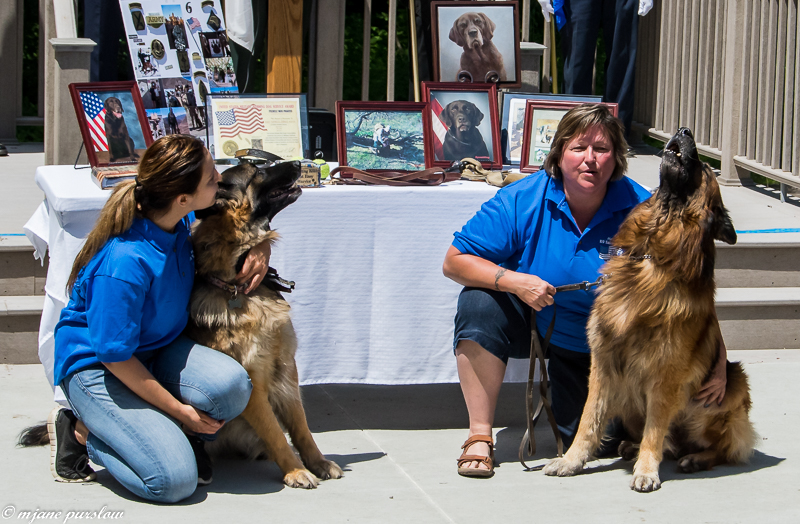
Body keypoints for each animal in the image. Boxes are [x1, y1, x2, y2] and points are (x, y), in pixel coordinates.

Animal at [188, 162, 344, 490]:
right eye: (256, 170)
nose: (299, 164)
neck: (237, 286)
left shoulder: (286, 367)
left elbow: (301, 426)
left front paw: (317, 462)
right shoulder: (254, 384)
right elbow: (275, 432)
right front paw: (295, 470)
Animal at [544, 127, 756, 492]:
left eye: (704, 167)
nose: (684, 130)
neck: (652, 251)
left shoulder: (665, 373)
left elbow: (655, 429)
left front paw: (646, 470)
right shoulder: (603, 363)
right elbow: (589, 418)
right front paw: (571, 460)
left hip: (734, 383)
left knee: (723, 447)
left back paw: (694, 458)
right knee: (668, 442)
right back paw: (633, 446)